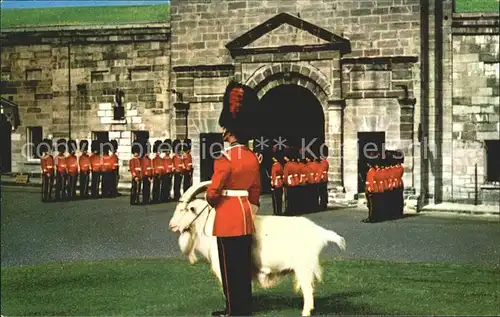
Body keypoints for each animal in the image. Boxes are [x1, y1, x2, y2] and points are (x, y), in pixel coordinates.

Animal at [170, 181, 346, 314]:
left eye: (183, 209)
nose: (171, 225)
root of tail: (319, 232)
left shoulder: (222, 266)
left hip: (304, 268)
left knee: (308, 291)